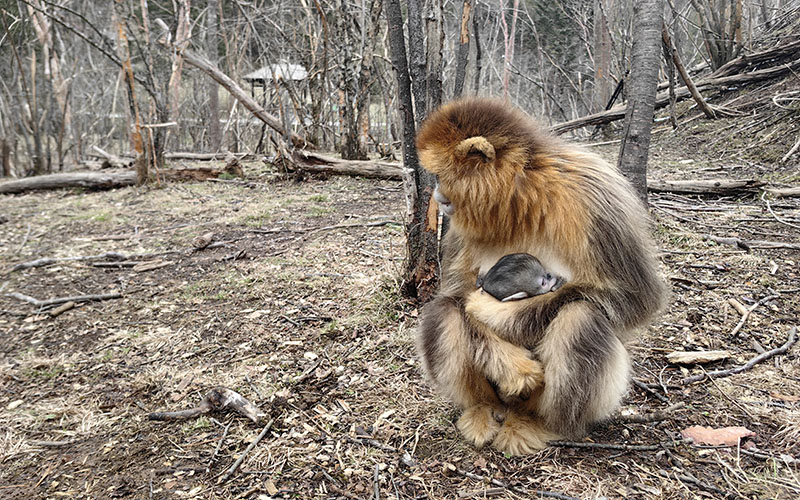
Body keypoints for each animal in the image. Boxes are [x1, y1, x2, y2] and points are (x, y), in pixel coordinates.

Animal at [416, 98, 664, 458]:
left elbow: (636, 298)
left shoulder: (596, 193)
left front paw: (496, 313)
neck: (522, 198)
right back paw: (482, 408)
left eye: (439, 175)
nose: (436, 196)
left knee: (581, 314)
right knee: (445, 309)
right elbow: (456, 294)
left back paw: (541, 423)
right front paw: (513, 366)